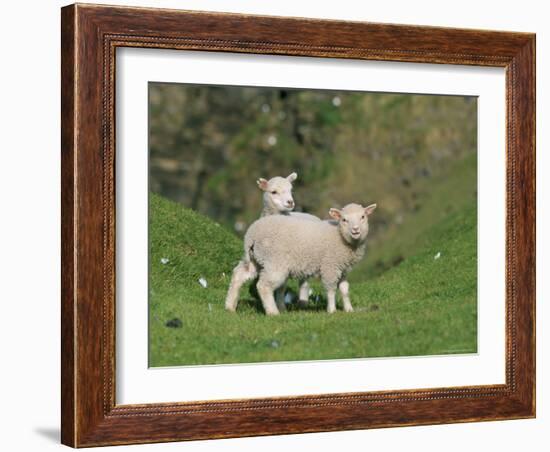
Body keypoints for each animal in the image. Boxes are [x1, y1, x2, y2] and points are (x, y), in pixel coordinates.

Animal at [226, 203, 378, 316]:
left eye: (363, 217)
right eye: (344, 220)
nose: (355, 230)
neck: (339, 235)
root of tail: (251, 234)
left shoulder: (343, 268)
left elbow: (345, 289)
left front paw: (349, 309)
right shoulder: (330, 266)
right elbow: (331, 289)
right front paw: (332, 310)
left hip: (256, 259)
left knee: (239, 274)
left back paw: (230, 306)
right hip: (274, 262)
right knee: (263, 286)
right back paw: (273, 312)